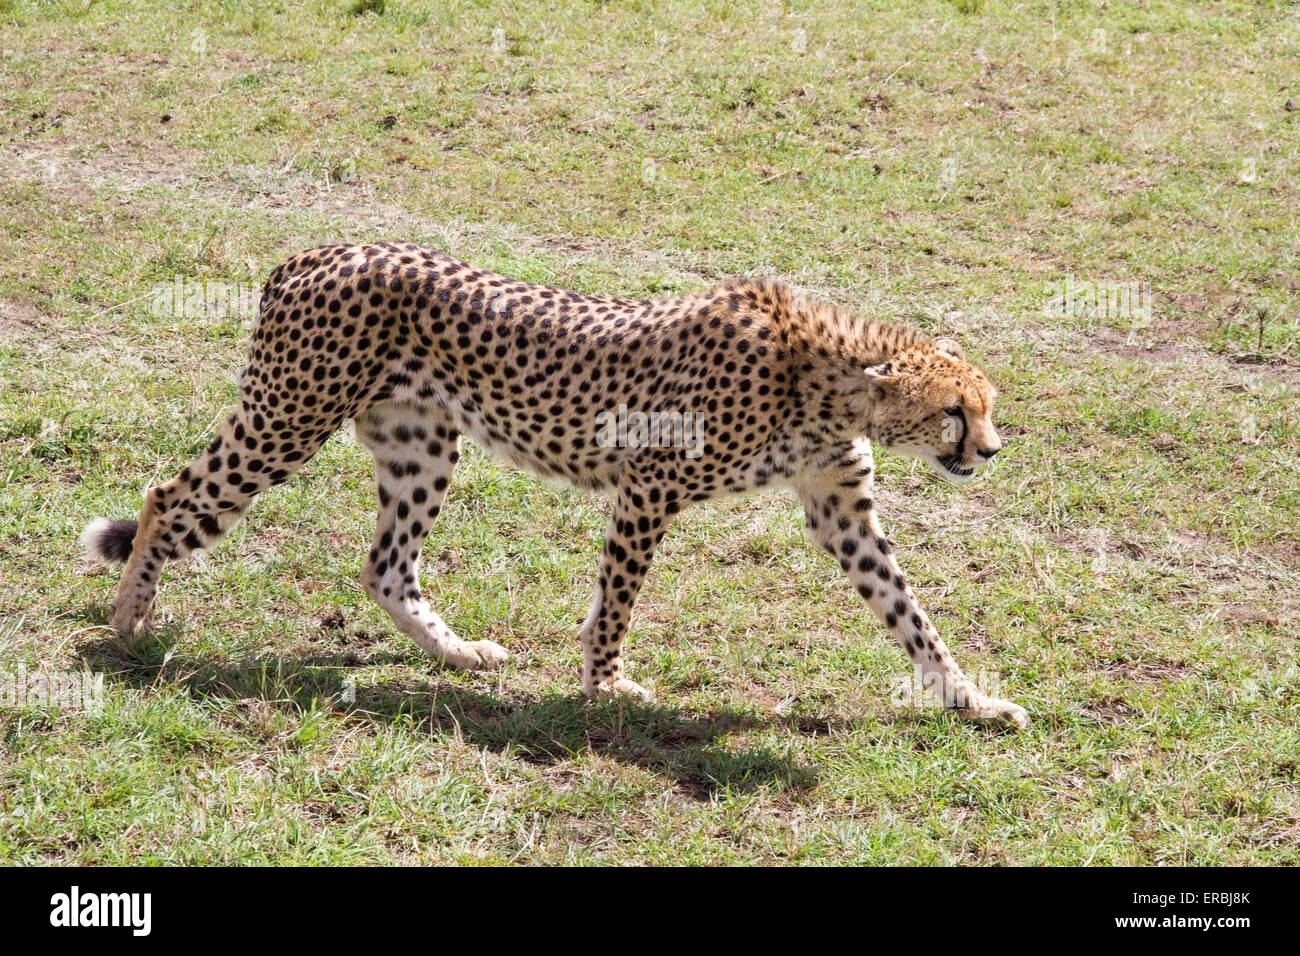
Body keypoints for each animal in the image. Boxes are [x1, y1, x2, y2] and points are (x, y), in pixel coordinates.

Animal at [86, 243, 1029, 728]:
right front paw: (606, 686)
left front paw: (971, 699)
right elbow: (616, 601)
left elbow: (911, 615)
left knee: (386, 565)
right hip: (288, 418)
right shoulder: (648, 486)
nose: (989, 451)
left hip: (420, 446)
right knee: (168, 498)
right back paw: (128, 622)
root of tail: (314, 251)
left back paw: (459, 654)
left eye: (984, 406)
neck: (824, 376)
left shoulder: (840, 508)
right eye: (955, 411)